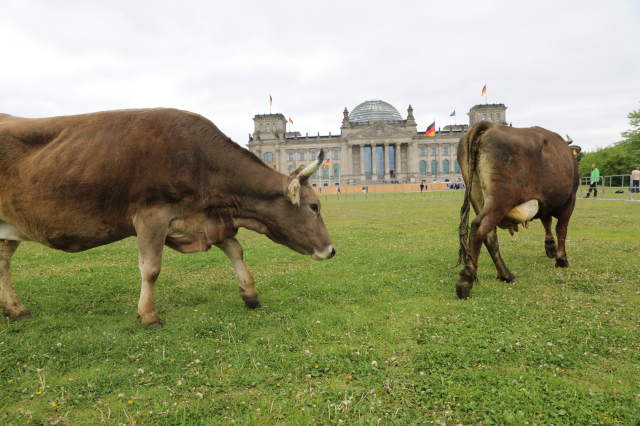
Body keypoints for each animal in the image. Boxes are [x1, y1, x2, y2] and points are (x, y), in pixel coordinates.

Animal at [0, 107, 338, 326]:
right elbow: (150, 269)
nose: (331, 250)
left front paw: (250, 294)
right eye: (314, 207)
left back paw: (16, 310)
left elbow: (235, 250)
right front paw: (149, 315)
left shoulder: (208, 220)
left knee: (3, 263)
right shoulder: (151, 217)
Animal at [456, 120, 580, 300]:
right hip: (502, 196)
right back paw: (466, 281)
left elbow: (547, 222)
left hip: (477, 195)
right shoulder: (570, 200)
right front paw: (561, 260)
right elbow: (561, 230)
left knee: (489, 235)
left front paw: (550, 246)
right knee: (479, 227)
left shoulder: (544, 202)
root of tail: (490, 126)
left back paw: (505, 274)